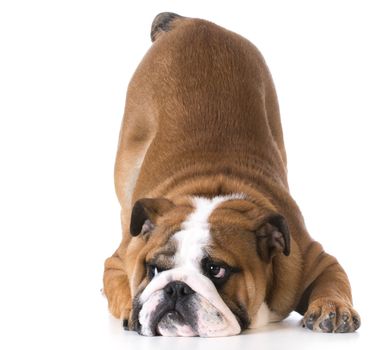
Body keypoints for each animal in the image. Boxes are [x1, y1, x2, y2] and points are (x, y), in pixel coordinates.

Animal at [103, 13, 360, 336]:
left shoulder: (315, 260)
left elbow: (333, 282)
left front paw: (333, 308)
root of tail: (192, 22)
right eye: (154, 269)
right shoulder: (119, 260)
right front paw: (130, 308)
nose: (175, 287)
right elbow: (122, 285)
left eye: (216, 270)